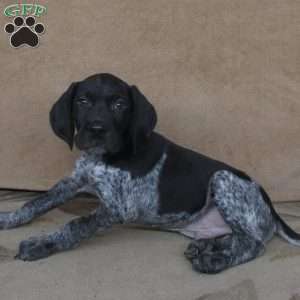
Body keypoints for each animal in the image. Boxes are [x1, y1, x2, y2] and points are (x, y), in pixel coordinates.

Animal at [1, 73, 298, 274]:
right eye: (82, 101)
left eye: (120, 104)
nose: (97, 129)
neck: (102, 156)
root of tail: (269, 206)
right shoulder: (74, 181)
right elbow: (36, 201)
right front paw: (10, 218)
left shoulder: (119, 207)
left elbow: (77, 224)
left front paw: (43, 244)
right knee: (237, 237)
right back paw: (207, 247)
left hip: (222, 179)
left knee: (254, 244)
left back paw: (215, 260)